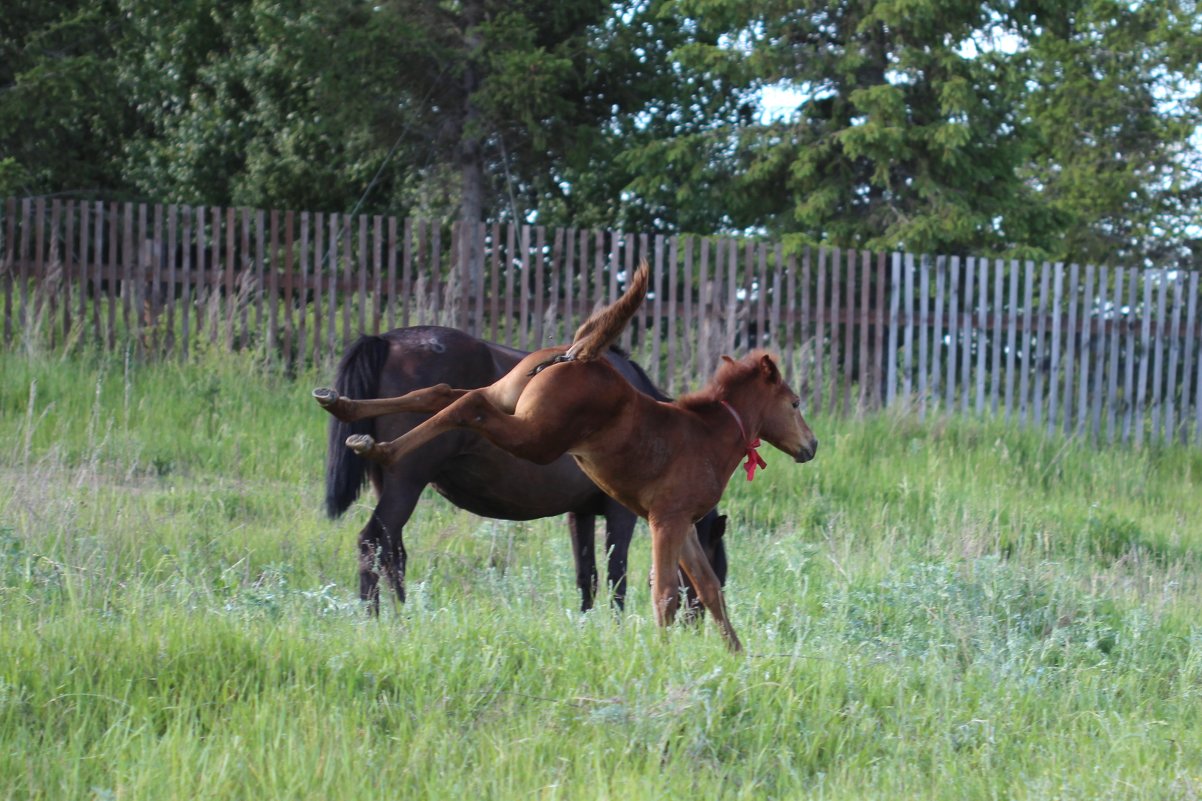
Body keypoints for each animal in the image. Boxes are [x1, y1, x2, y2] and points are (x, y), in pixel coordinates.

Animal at [324, 324, 726, 610]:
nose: (695, 623)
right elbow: (617, 576)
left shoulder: (580, 513)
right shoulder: (620, 513)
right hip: (406, 483)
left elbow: (588, 576)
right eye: (717, 571)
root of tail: (387, 340)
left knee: (392, 553)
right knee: (373, 542)